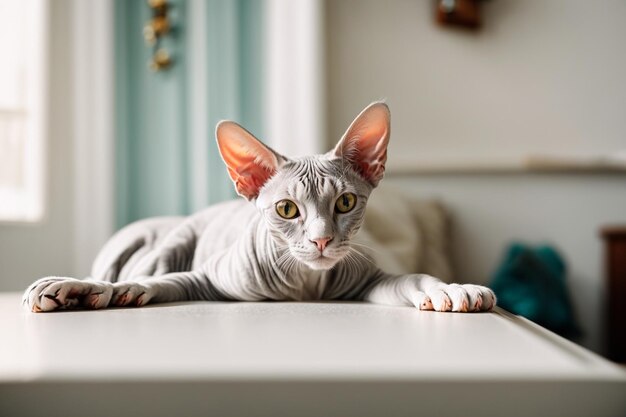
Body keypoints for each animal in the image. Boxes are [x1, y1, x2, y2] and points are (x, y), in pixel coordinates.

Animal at [23, 102, 492, 312]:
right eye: (286, 210)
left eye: (345, 202)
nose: (321, 241)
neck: (305, 287)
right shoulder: (205, 278)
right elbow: (154, 283)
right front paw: (88, 290)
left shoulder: (369, 281)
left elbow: (412, 278)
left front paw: (451, 289)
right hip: (173, 240)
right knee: (149, 268)